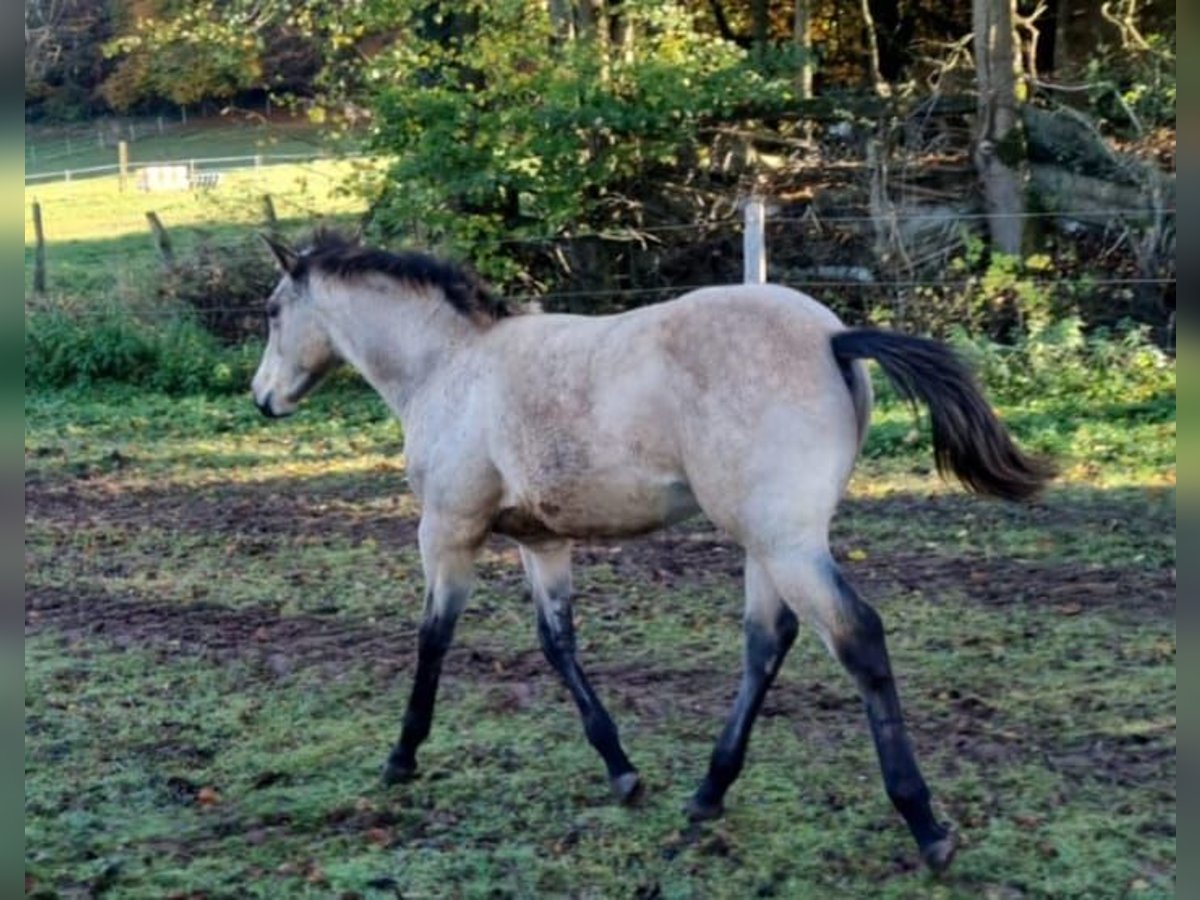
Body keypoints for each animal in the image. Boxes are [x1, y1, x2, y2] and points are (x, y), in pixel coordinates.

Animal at [250, 230, 1051, 873]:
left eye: (272, 311)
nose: (263, 398)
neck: (451, 365)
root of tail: (834, 339)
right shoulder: (543, 541)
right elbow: (558, 643)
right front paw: (621, 770)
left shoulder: (447, 528)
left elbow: (432, 638)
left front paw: (401, 757)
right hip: (766, 543)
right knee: (767, 641)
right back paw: (708, 792)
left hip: (787, 543)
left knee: (856, 637)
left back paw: (925, 827)